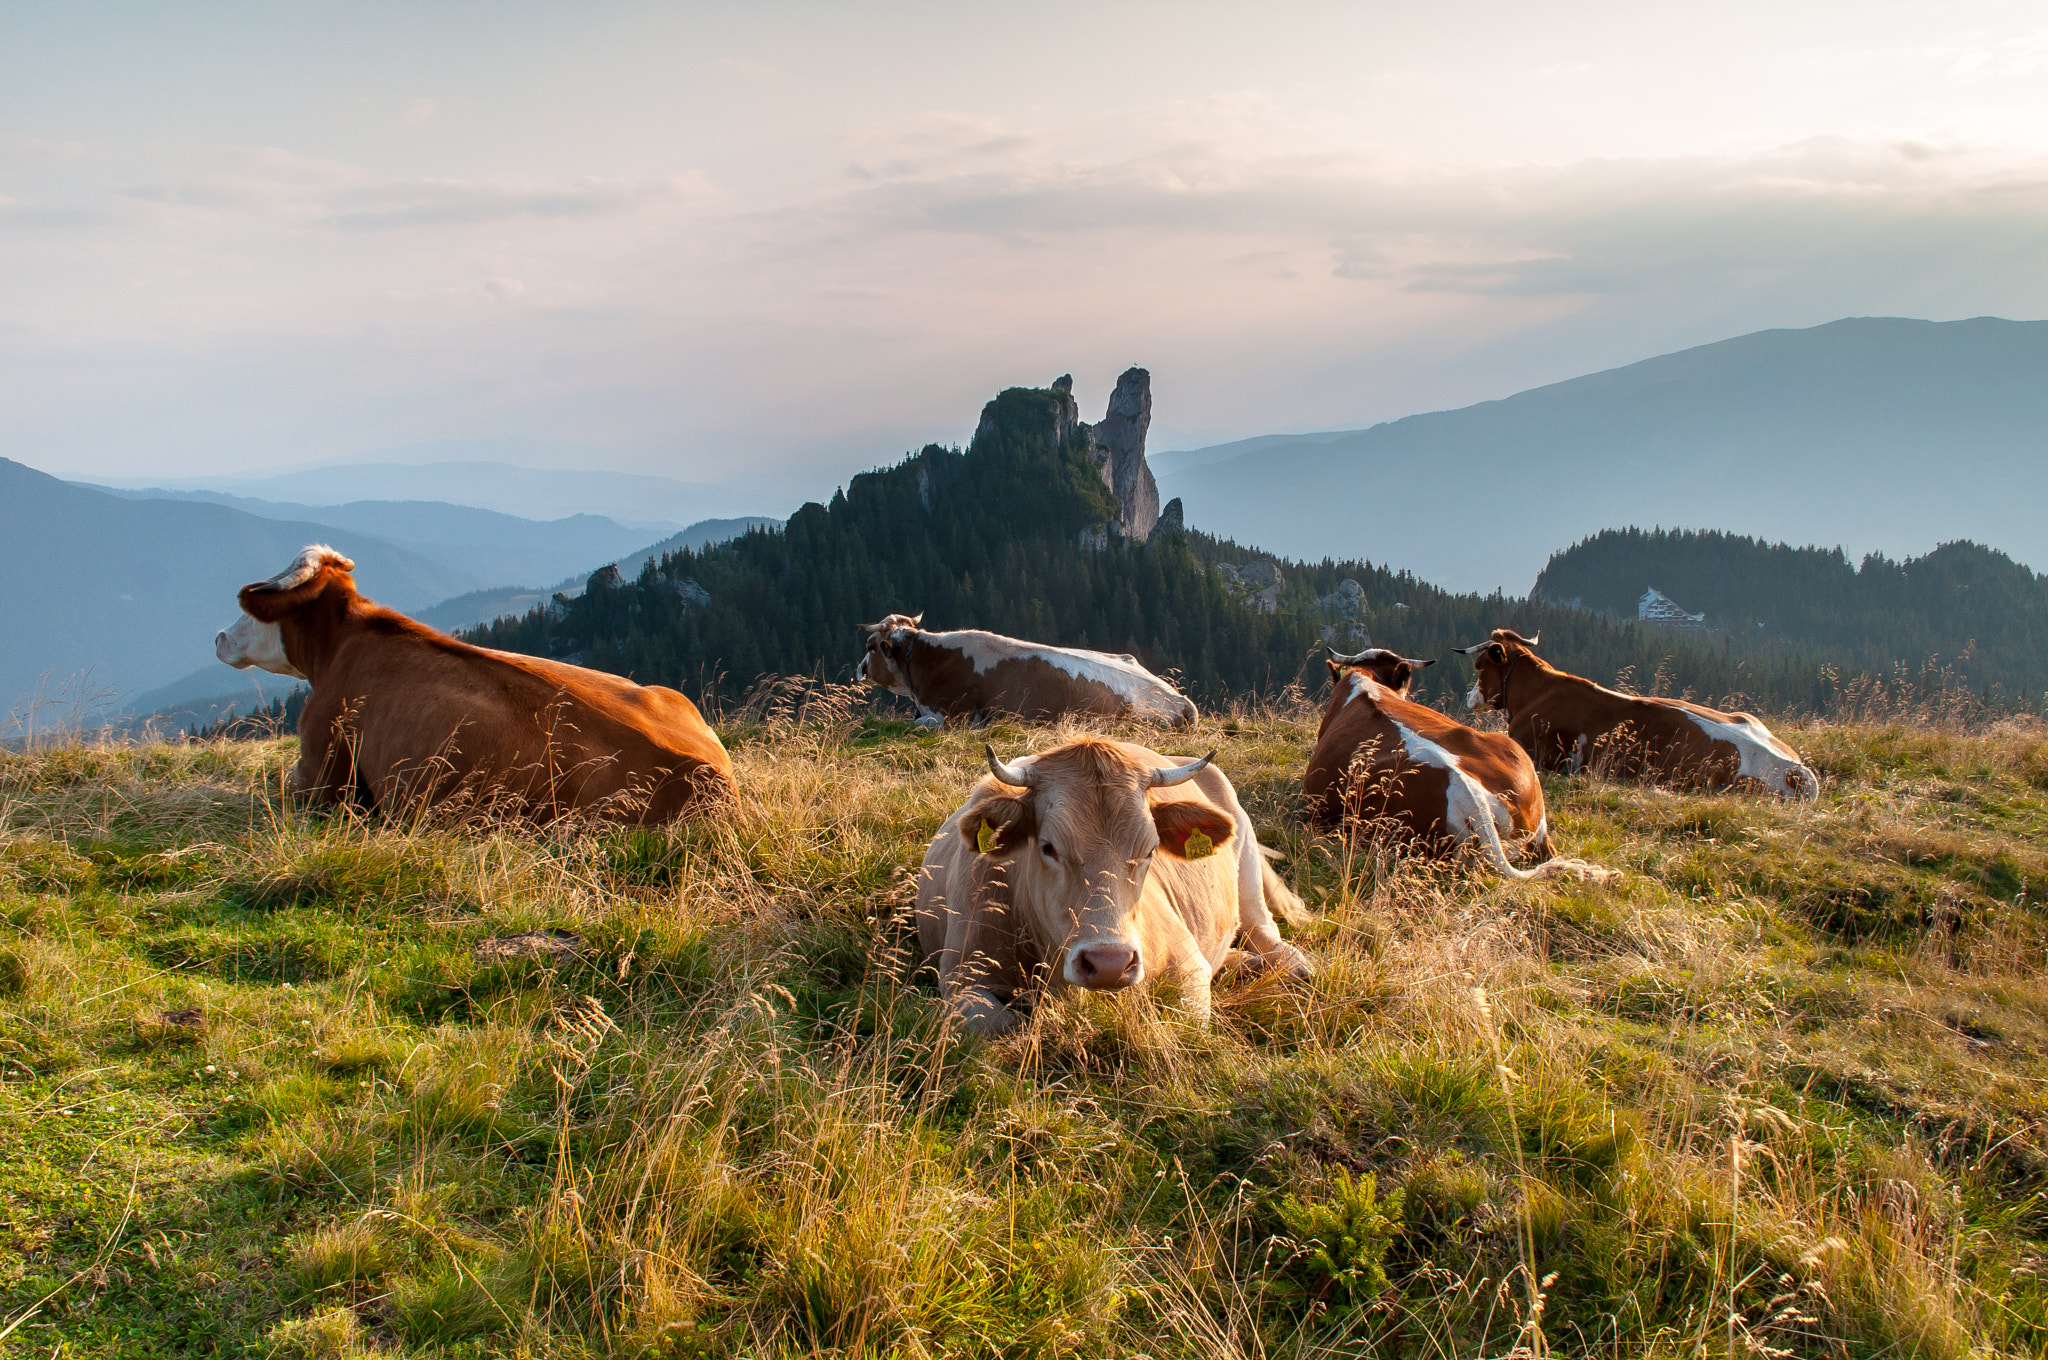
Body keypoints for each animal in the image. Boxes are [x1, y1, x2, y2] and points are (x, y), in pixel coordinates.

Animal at [917, 737, 1310, 1036]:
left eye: (1150, 849)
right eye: (1048, 847)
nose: (1109, 963)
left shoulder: (1187, 965)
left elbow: (1182, 1023)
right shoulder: (962, 976)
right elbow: (1000, 1027)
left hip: (1246, 862)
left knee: (1266, 931)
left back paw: (1289, 965)